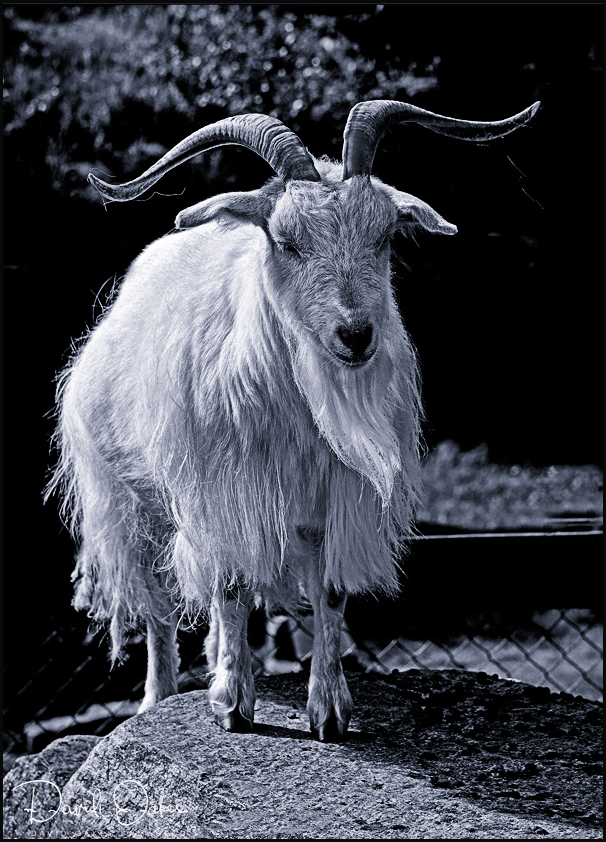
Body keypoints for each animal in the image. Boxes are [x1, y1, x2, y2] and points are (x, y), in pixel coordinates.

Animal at [46, 99, 539, 741]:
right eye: (286, 241)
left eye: (385, 236)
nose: (355, 335)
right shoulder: (221, 493)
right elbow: (230, 585)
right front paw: (232, 705)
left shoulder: (335, 497)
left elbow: (328, 593)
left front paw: (328, 711)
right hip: (130, 502)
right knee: (158, 607)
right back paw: (158, 699)